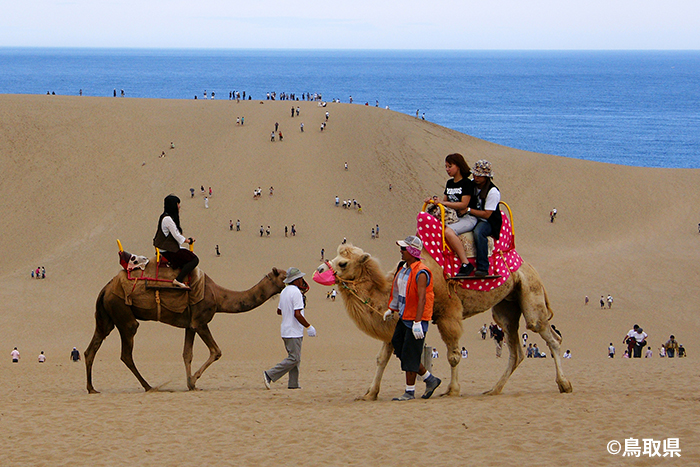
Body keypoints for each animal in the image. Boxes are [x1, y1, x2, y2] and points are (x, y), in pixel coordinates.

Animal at [83, 266, 286, 394]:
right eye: (284, 276)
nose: (297, 283)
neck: (219, 296)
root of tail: (105, 288)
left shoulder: (190, 324)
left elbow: (187, 354)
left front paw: (190, 384)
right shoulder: (200, 321)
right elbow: (216, 351)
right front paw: (194, 380)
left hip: (107, 317)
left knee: (91, 349)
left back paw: (92, 388)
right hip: (123, 313)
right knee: (126, 353)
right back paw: (149, 386)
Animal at [314, 245, 572, 402]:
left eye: (343, 263)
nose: (318, 269)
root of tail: (528, 266)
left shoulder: (449, 312)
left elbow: (453, 355)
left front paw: (451, 390)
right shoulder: (396, 323)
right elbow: (383, 358)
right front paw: (369, 394)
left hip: (530, 294)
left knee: (549, 335)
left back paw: (564, 384)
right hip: (506, 308)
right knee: (516, 349)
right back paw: (493, 390)